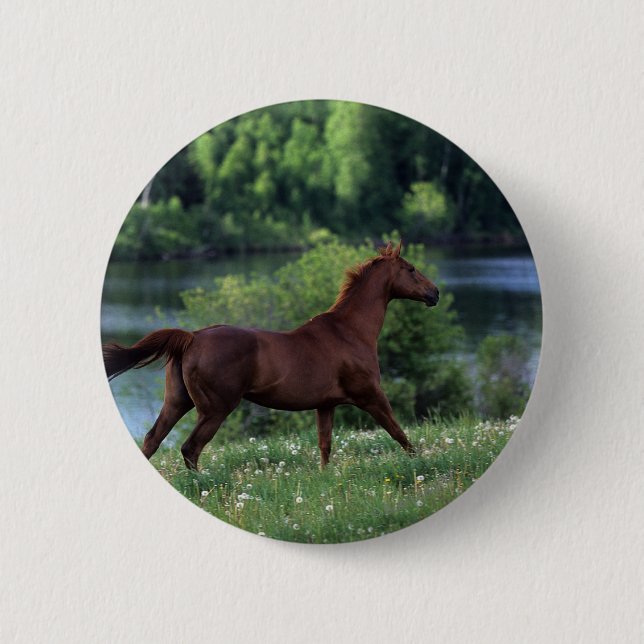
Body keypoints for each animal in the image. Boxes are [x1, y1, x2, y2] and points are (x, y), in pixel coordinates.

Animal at [103, 241, 439, 470]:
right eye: (411, 269)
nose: (434, 293)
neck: (350, 331)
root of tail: (192, 337)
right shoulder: (370, 395)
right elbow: (399, 433)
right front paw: (420, 465)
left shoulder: (326, 405)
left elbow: (325, 446)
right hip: (215, 409)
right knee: (190, 448)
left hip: (177, 402)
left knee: (153, 439)